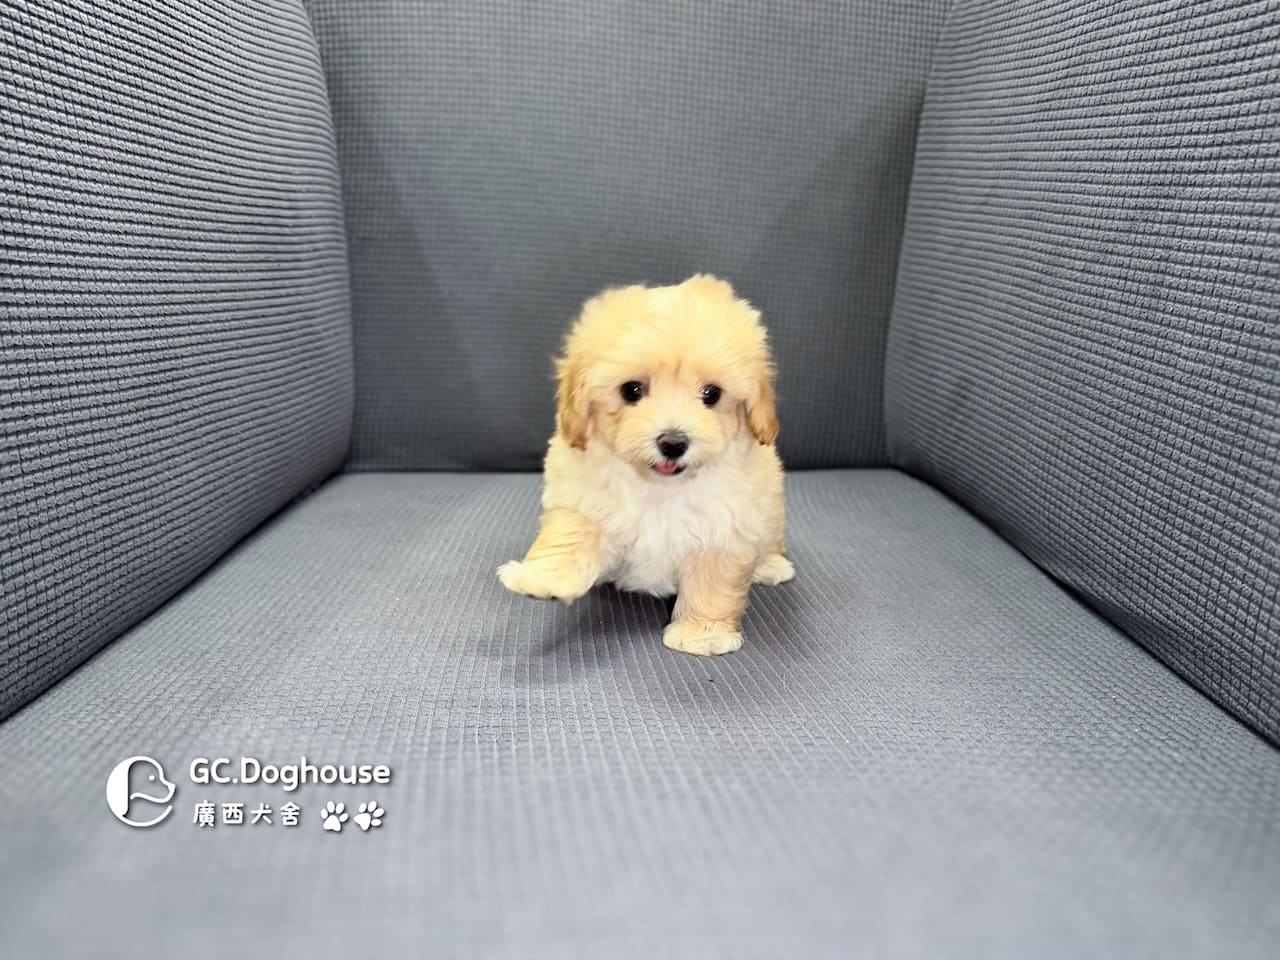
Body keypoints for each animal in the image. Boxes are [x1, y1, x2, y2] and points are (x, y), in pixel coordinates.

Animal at [498, 274, 793, 655]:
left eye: (711, 394)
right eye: (632, 390)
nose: (673, 442)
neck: (660, 487)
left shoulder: (726, 525)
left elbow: (712, 582)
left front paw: (702, 634)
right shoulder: (581, 496)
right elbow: (570, 533)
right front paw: (543, 578)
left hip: (770, 508)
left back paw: (770, 565)